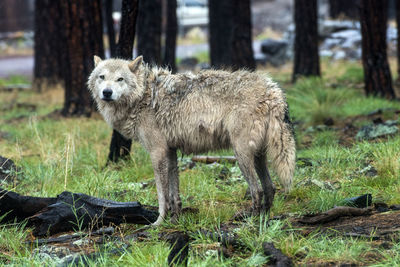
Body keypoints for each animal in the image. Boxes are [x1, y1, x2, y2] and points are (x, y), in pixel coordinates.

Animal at [87, 56, 296, 226]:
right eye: (102, 77)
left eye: (120, 79)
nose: (107, 92)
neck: (143, 95)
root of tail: (274, 90)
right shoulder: (170, 151)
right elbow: (174, 194)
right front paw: (175, 219)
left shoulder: (157, 152)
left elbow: (162, 195)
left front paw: (159, 222)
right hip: (258, 155)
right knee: (270, 187)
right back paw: (264, 218)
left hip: (241, 154)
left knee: (257, 190)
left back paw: (250, 220)